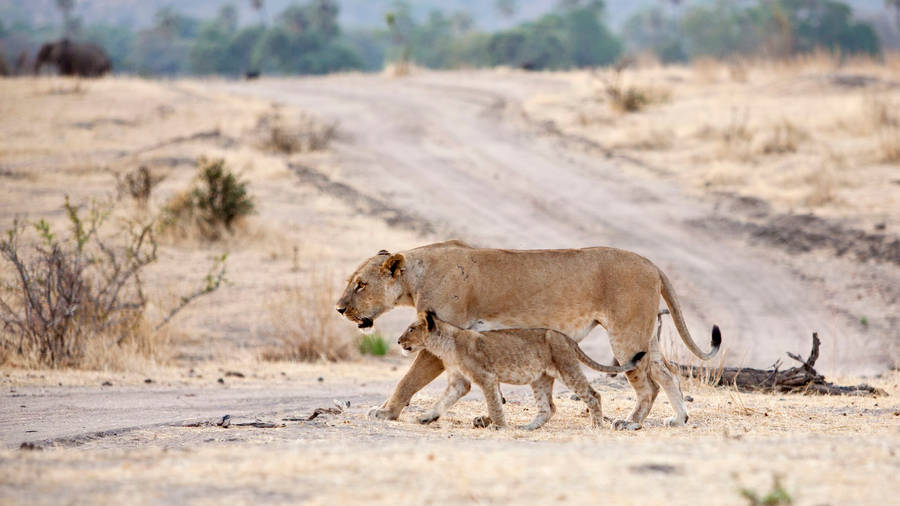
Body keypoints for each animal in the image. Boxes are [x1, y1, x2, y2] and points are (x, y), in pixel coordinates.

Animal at [397, 311, 646, 430]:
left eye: (411, 329)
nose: (398, 341)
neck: (445, 345)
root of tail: (565, 337)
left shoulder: (487, 377)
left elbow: (494, 403)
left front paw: (500, 427)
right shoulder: (459, 382)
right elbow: (443, 401)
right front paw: (426, 418)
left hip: (567, 368)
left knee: (593, 395)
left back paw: (596, 426)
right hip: (541, 379)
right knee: (548, 408)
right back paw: (528, 427)